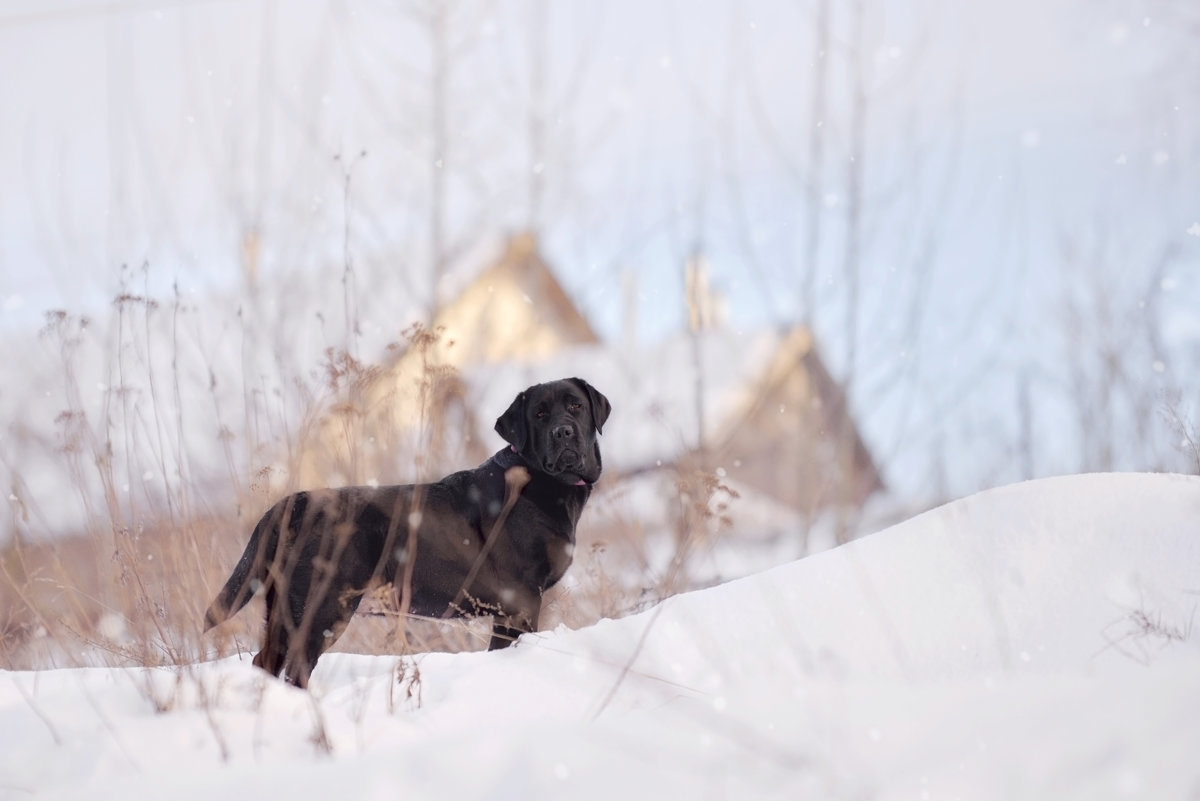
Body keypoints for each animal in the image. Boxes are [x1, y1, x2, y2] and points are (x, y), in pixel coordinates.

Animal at [202, 378, 609, 685]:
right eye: (539, 414)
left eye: (575, 406)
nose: (563, 432)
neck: (541, 483)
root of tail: (295, 501)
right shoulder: (518, 601)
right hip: (323, 605)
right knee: (297, 666)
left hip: (284, 606)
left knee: (266, 660)